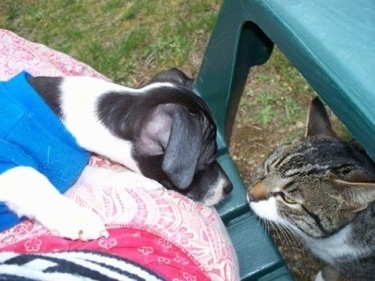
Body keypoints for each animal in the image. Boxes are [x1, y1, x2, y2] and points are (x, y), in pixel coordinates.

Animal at [0, 69, 234, 240]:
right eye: (204, 163)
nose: (229, 187)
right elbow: (33, 181)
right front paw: (78, 219)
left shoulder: (68, 168)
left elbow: (100, 174)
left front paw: (139, 181)